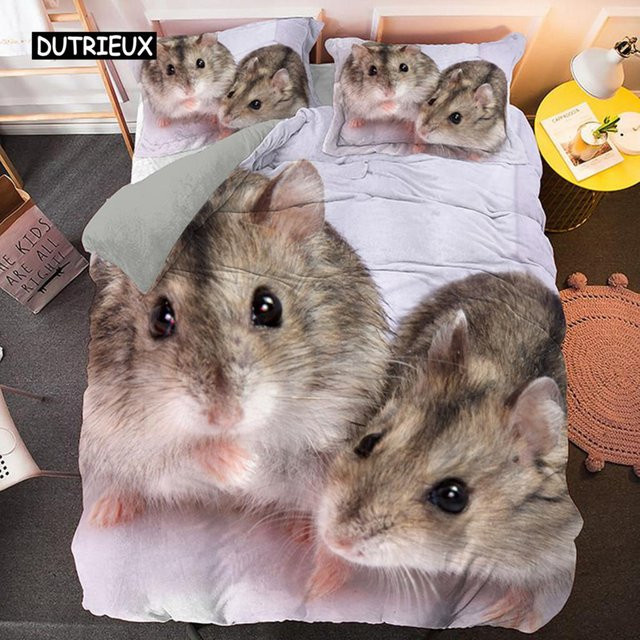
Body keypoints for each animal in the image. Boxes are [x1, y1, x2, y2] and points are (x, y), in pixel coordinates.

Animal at [80, 160, 389, 528]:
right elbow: (179, 455)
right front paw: (237, 466)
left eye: (269, 306)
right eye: (160, 318)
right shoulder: (119, 432)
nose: (225, 418)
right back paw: (105, 513)